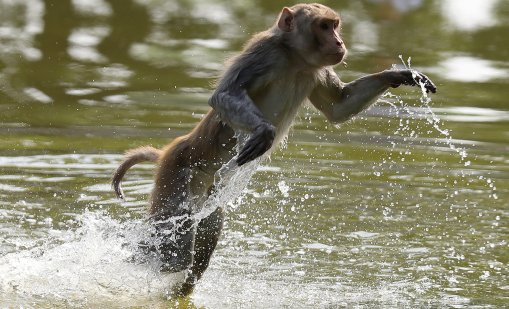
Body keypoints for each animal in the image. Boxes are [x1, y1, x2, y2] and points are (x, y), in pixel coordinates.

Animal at [112, 2, 436, 296]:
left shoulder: (316, 70)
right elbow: (225, 95)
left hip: (207, 194)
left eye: (335, 25)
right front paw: (264, 132)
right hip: (178, 172)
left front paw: (399, 75)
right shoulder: (263, 52)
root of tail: (173, 148)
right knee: (174, 249)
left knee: (201, 238)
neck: (295, 59)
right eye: (324, 26)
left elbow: (339, 108)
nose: (339, 42)